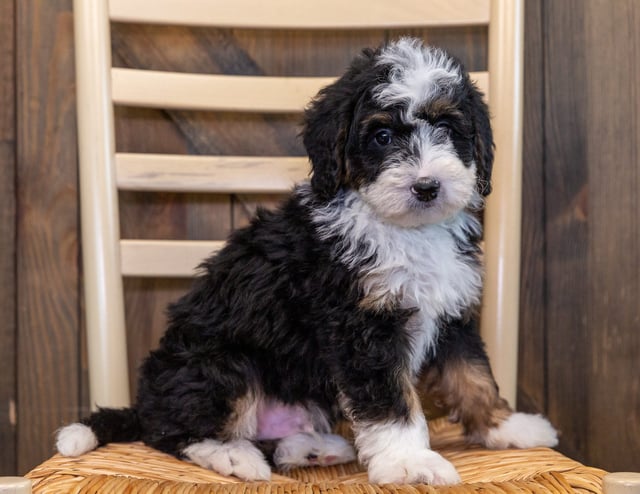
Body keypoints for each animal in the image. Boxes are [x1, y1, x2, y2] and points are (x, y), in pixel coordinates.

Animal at [56, 39, 556, 486]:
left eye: (449, 129)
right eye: (382, 136)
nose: (427, 186)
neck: (405, 230)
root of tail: (145, 402)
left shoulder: (451, 311)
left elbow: (472, 374)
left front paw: (505, 426)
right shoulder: (362, 326)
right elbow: (391, 402)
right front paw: (409, 462)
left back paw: (314, 447)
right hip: (218, 365)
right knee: (172, 432)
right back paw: (234, 457)